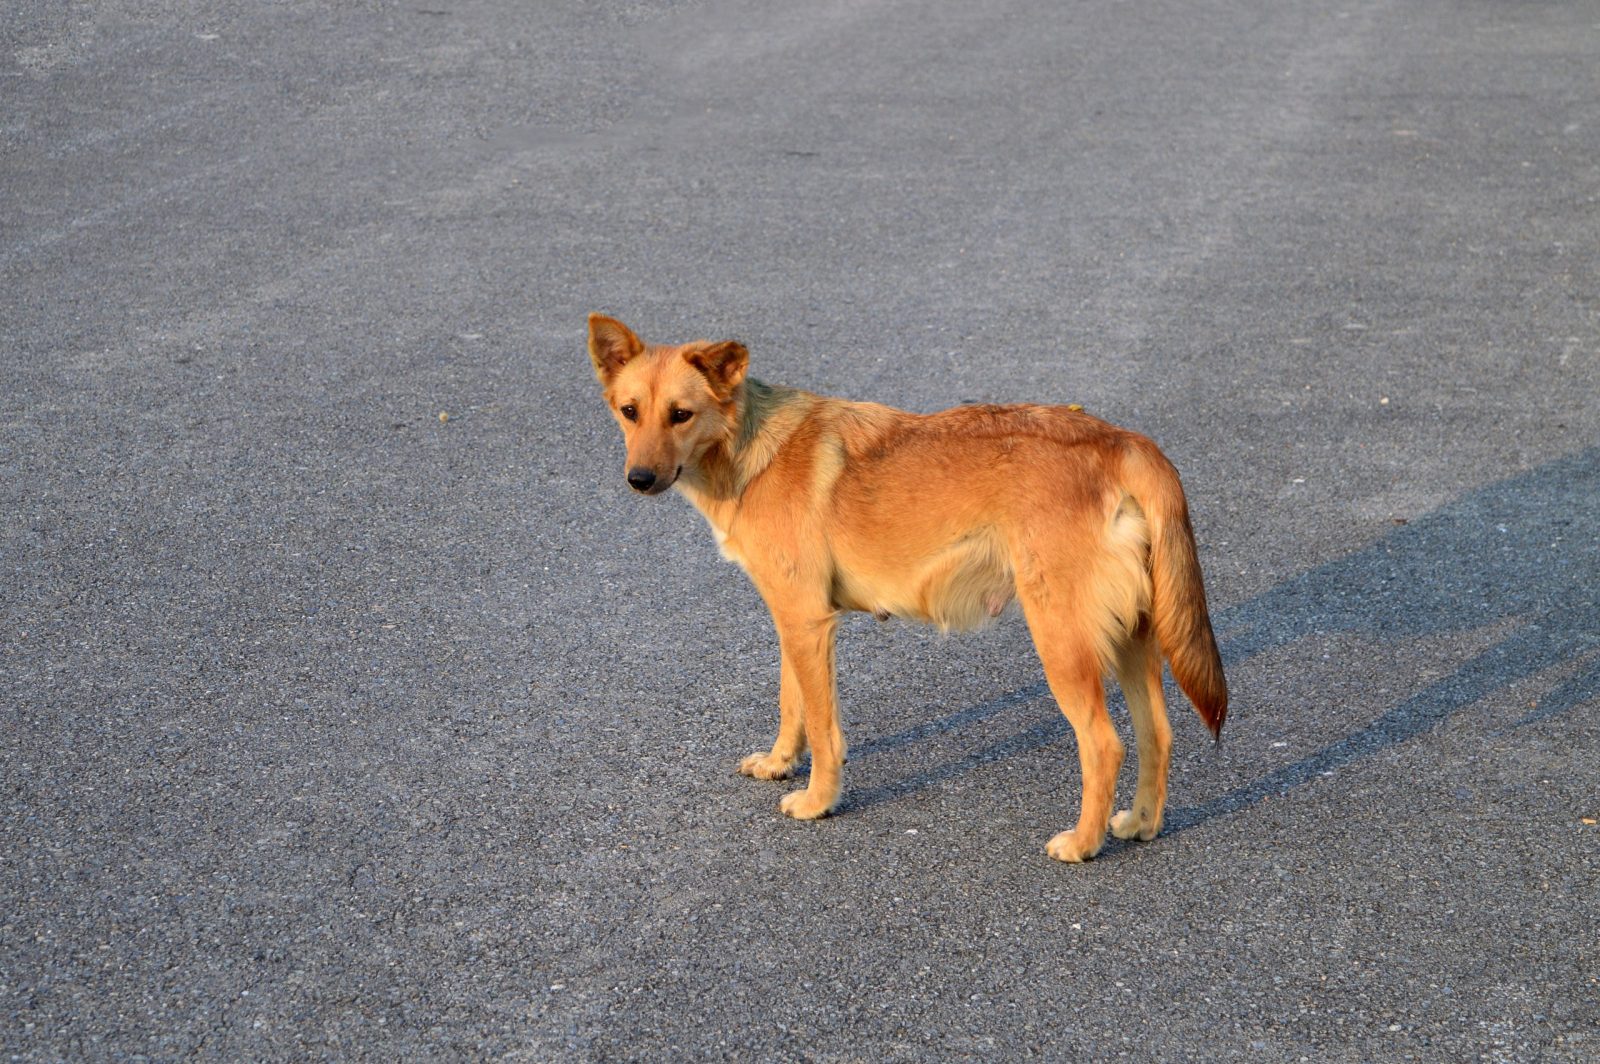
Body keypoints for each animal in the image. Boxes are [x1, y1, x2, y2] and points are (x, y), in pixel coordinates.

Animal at [588, 312, 1222, 857]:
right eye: (629, 411)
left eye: (681, 414)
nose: (639, 479)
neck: (749, 445)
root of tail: (1123, 441)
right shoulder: (793, 620)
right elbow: (792, 704)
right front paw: (778, 763)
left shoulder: (808, 623)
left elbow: (823, 728)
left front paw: (818, 800)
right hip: (1131, 638)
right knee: (1157, 733)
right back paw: (1140, 823)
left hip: (1062, 642)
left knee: (1104, 744)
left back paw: (1083, 843)